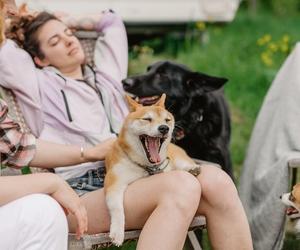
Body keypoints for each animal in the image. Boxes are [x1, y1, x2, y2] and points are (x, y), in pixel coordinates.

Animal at [104, 94, 200, 246]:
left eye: (167, 120)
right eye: (147, 119)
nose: (164, 128)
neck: (145, 166)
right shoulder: (114, 182)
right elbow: (117, 207)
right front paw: (118, 232)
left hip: (177, 158)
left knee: (184, 164)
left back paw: (191, 168)